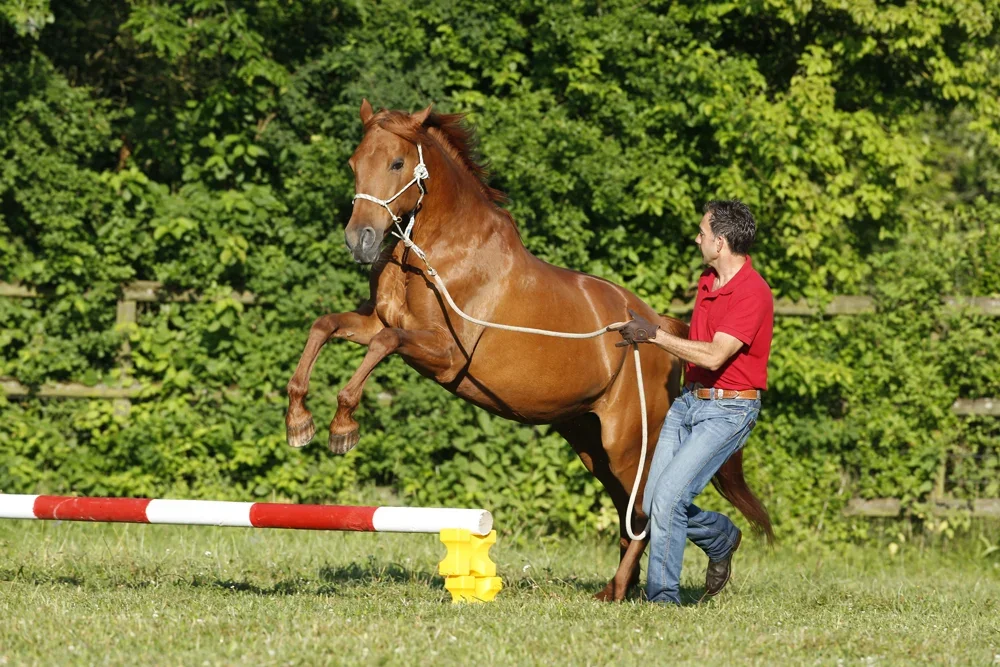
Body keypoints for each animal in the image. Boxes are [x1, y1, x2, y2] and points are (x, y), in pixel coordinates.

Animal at [284, 99, 773, 601]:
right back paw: (621, 589)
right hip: (591, 444)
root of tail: (659, 328)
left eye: (397, 163)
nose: (359, 240)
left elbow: (382, 345)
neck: (437, 254)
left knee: (646, 511)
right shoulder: (376, 321)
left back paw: (628, 587)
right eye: (354, 163)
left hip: (629, 444)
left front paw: (342, 428)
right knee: (632, 513)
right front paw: (299, 422)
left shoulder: (444, 353)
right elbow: (325, 326)